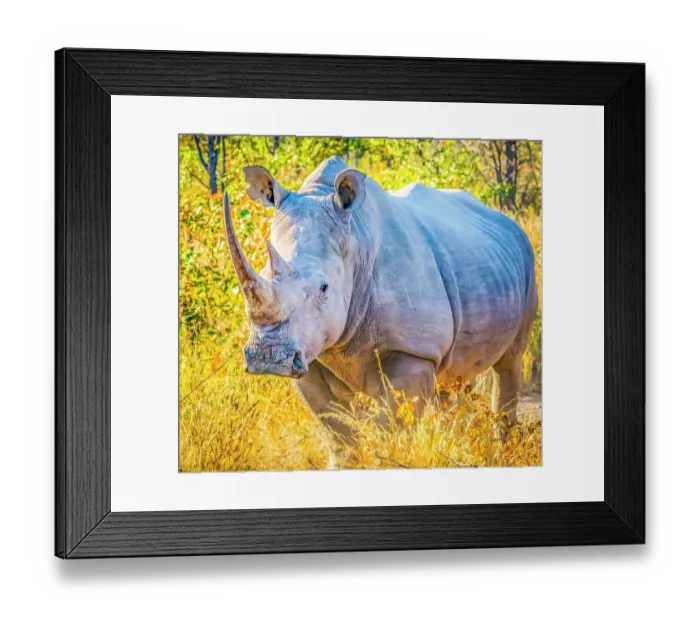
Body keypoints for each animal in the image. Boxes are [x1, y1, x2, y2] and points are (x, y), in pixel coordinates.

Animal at [223, 156, 538, 444]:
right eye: (264, 273)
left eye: (324, 288)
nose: (268, 357)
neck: (355, 242)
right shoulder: (310, 352)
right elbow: (338, 432)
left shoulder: (414, 348)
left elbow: (392, 428)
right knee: (457, 373)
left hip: (526, 259)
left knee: (510, 361)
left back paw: (502, 446)